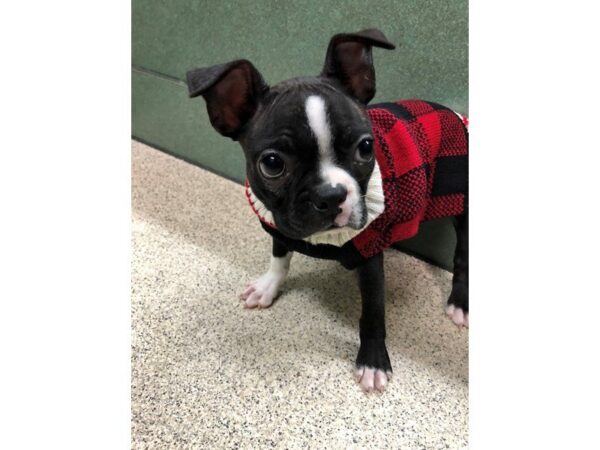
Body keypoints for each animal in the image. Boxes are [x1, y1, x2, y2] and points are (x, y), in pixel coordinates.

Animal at [188, 29, 468, 394]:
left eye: (366, 147)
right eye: (272, 164)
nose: (331, 194)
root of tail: (452, 112)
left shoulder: (369, 257)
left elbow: (372, 312)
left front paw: (373, 362)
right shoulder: (279, 223)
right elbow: (279, 256)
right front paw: (268, 286)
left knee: (463, 254)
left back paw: (460, 303)